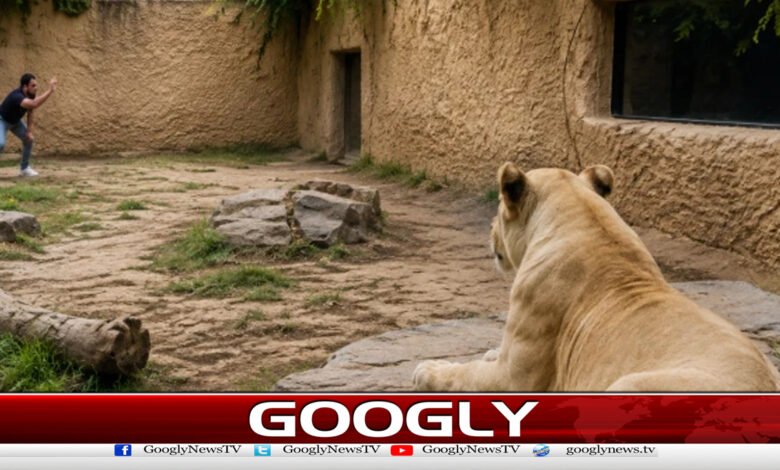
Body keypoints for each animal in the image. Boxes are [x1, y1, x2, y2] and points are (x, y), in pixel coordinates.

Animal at [413, 162, 780, 391]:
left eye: (499, 211)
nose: (489, 230)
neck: (585, 218)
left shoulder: (515, 377)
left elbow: (466, 373)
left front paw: (427, 370)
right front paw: (487, 352)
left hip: (629, 385)